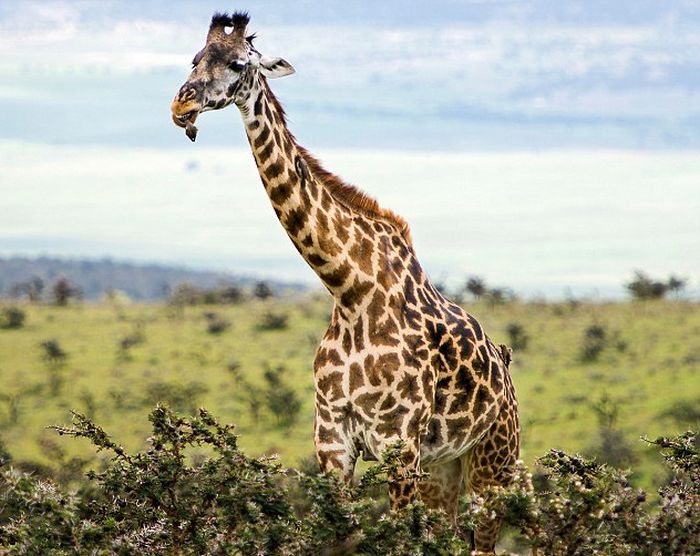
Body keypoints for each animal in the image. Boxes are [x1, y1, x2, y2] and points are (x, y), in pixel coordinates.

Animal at [170, 11, 520, 552]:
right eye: (194, 58)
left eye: (236, 63)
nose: (182, 104)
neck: (349, 288)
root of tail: (506, 369)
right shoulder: (332, 440)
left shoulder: (400, 444)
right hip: (444, 466)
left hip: (494, 461)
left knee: (483, 539)